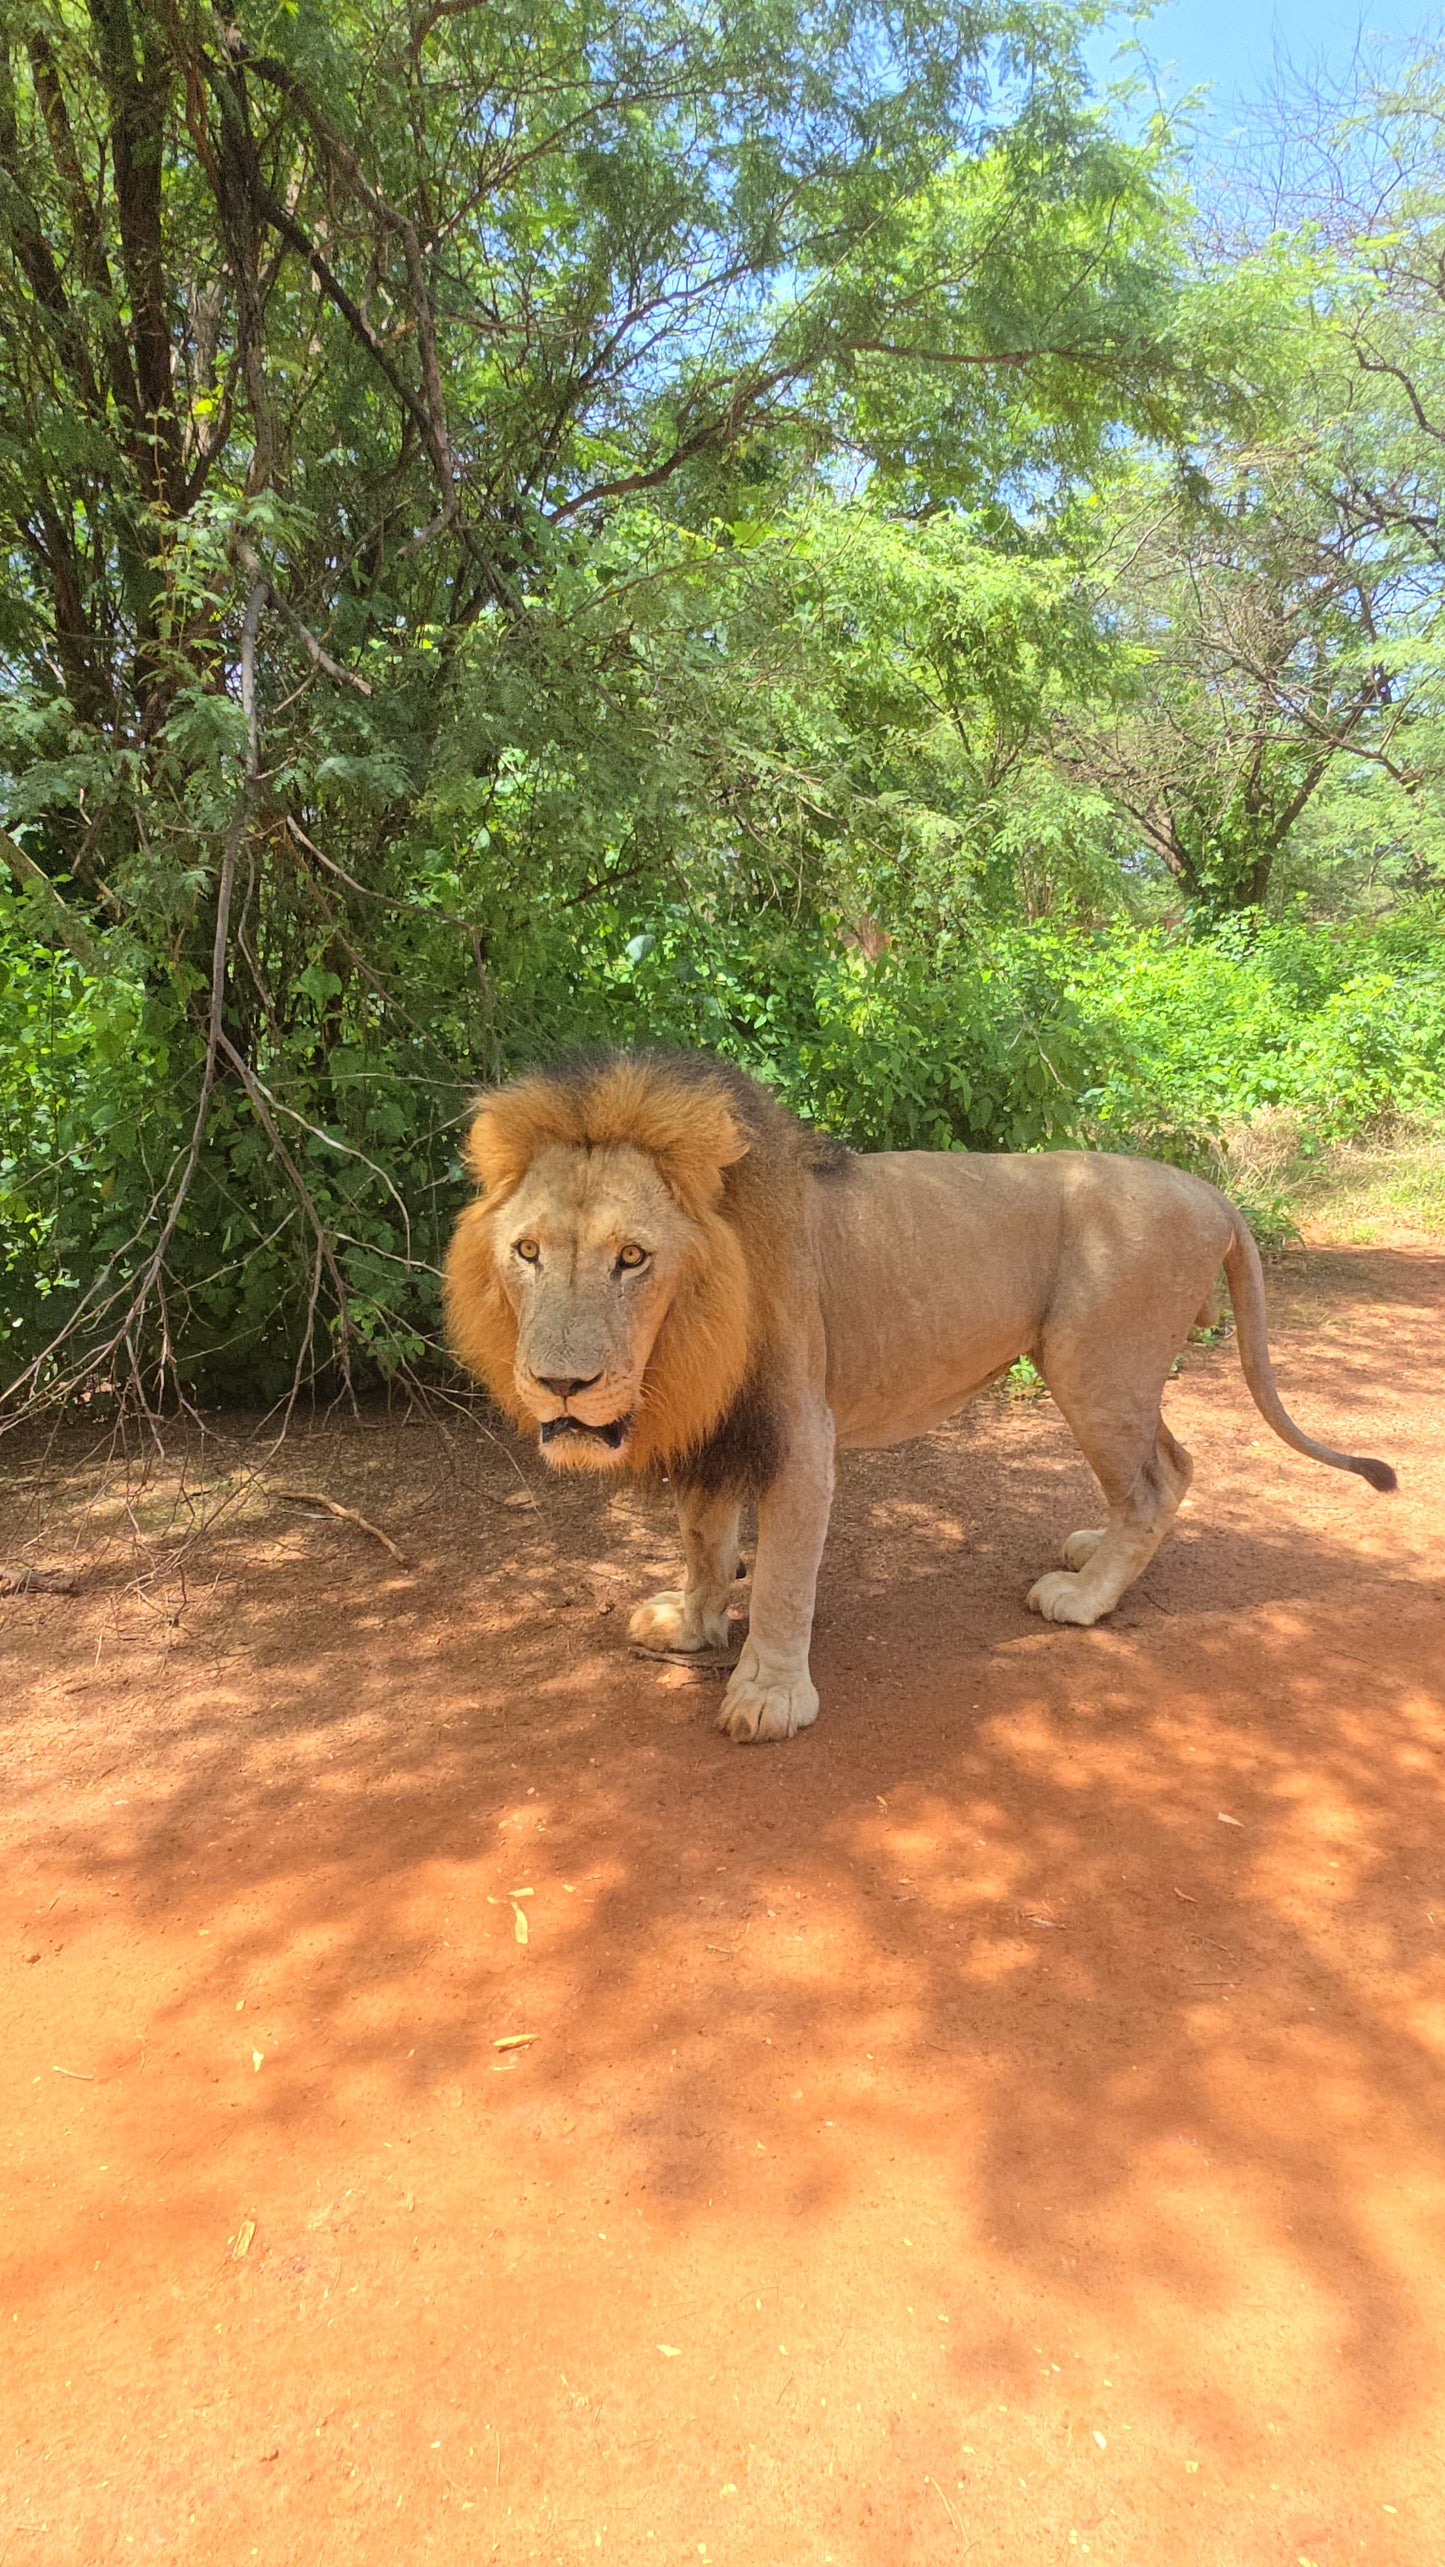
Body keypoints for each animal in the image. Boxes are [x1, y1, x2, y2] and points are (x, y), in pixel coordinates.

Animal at [443, 1050, 1395, 1744]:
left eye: (632, 1257)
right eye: (527, 1251)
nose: (561, 1383)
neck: (690, 1329)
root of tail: (1214, 1195)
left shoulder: (797, 1430)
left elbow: (780, 1575)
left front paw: (768, 1695)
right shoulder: (717, 1426)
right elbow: (704, 1539)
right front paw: (690, 1621)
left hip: (1092, 1363)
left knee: (1153, 1482)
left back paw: (1082, 1599)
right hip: (1113, 1370)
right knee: (1174, 1462)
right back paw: (1092, 1551)